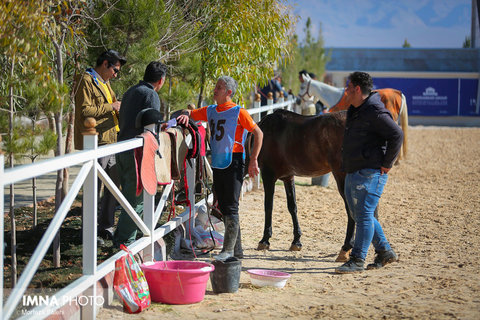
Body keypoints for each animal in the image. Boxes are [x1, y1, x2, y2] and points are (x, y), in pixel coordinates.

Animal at [255, 109, 356, 262]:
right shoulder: (288, 177)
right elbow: (292, 207)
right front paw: (296, 242)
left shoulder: (268, 175)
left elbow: (268, 206)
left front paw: (265, 240)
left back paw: (345, 248)